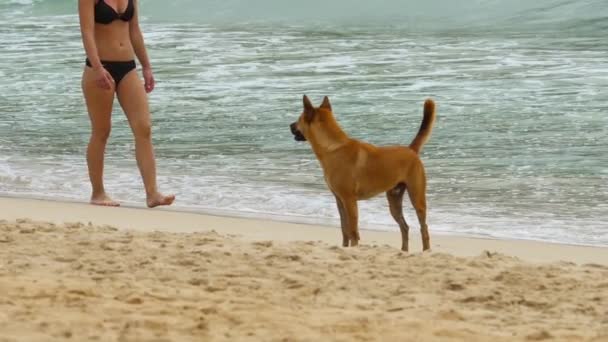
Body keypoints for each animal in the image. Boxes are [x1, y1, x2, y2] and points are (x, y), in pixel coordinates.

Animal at [292, 96, 434, 251]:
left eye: (299, 119)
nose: (290, 125)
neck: (333, 147)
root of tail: (411, 150)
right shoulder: (340, 201)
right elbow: (344, 229)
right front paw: (345, 248)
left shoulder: (349, 201)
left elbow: (353, 231)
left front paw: (353, 248)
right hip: (394, 201)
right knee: (405, 227)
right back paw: (404, 251)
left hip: (417, 199)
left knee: (424, 228)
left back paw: (426, 251)